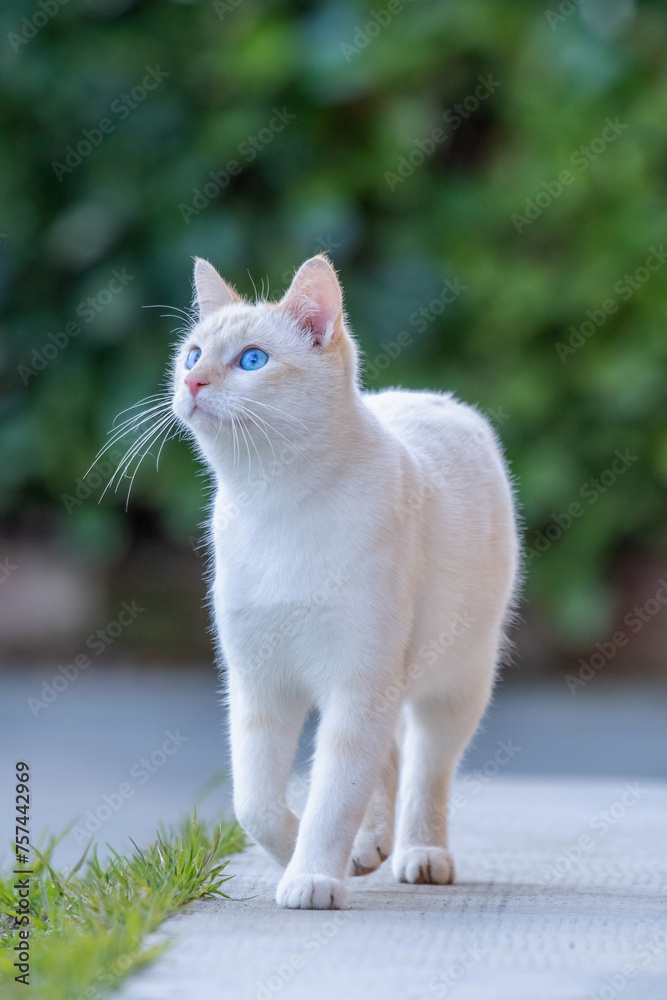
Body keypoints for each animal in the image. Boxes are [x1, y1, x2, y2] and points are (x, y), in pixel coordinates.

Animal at [170, 256, 520, 908]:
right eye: (192, 354)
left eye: (251, 361)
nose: (194, 383)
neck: (277, 506)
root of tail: (430, 397)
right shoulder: (260, 685)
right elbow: (256, 805)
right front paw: (319, 858)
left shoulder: (359, 683)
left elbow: (332, 798)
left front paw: (312, 875)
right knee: (389, 761)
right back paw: (371, 846)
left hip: (455, 682)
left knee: (426, 767)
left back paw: (420, 853)